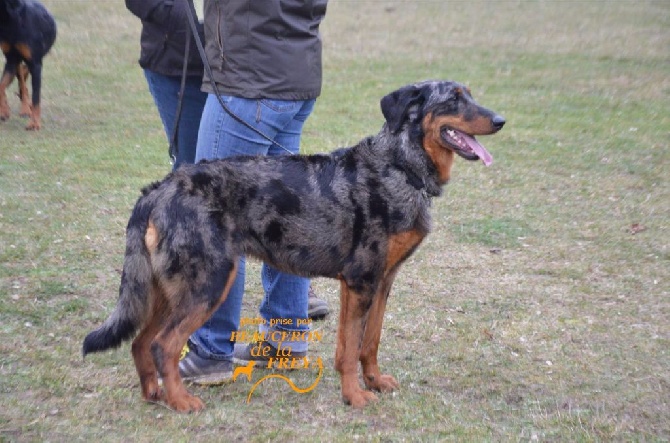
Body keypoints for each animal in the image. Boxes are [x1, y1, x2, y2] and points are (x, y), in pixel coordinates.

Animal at [0, 0, 56, 130]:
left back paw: (25, 110)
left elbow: (36, 97)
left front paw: (34, 123)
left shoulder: (35, 65)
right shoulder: (11, 60)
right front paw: (4, 111)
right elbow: (1, 86)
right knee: (22, 81)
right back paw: (24, 108)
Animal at [82, 79, 504, 412]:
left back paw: (155, 395)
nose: (501, 120)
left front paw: (374, 382)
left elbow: (368, 342)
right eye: (453, 100)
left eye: (470, 95)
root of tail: (159, 188)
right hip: (209, 284)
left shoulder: (381, 283)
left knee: (140, 343)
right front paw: (354, 396)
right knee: (163, 346)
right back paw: (181, 401)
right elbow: (349, 348)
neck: (399, 166)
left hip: (168, 291)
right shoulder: (360, 282)